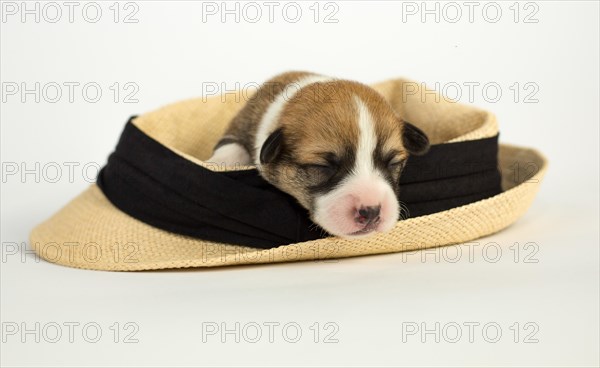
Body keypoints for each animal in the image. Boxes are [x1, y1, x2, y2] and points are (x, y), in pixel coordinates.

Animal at [209, 71, 428, 239]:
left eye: (393, 163)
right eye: (322, 167)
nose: (372, 211)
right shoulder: (242, 123)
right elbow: (231, 144)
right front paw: (220, 161)